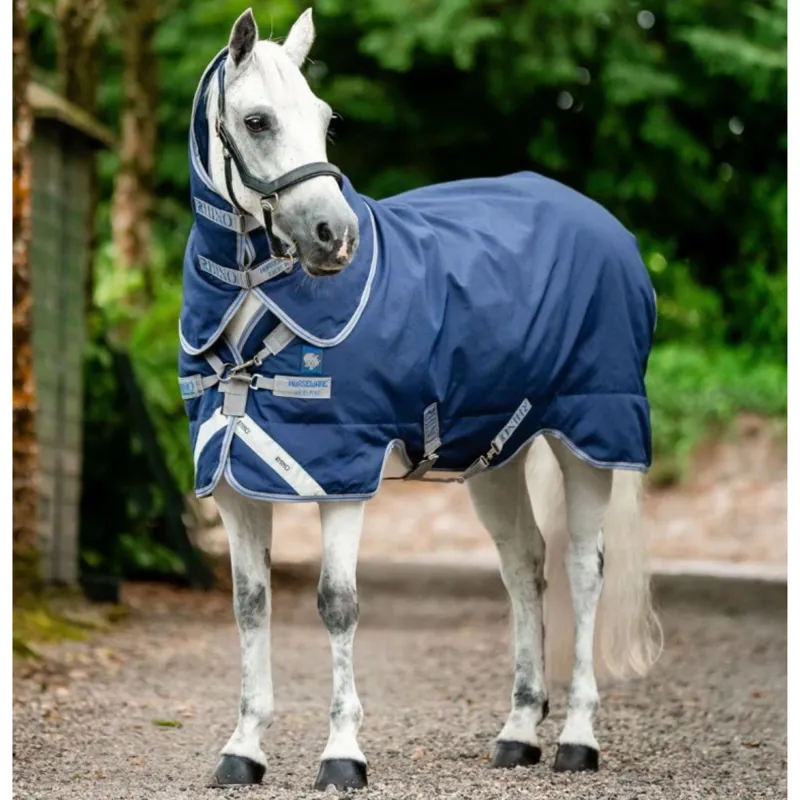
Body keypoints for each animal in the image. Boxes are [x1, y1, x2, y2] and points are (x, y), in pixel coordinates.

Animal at [178, 8, 662, 792]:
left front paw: (342, 753)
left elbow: (337, 604)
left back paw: (577, 739)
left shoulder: (342, 473)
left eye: (324, 118)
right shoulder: (232, 481)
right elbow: (250, 607)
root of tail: (607, 228)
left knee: (584, 571)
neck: (256, 302)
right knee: (524, 566)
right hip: (498, 456)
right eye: (256, 120)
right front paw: (243, 748)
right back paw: (518, 732)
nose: (334, 237)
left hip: (591, 437)